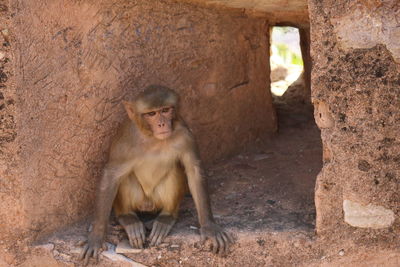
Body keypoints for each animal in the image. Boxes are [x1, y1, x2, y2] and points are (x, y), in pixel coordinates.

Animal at [79, 85, 233, 264]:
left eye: (165, 110)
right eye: (151, 114)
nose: (161, 123)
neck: (152, 137)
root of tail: (148, 205)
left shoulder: (185, 135)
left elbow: (193, 170)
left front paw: (209, 226)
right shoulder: (125, 141)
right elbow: (111, 175)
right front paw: (96, 236)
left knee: (175, 170)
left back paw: (166, 218)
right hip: (139, 201)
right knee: (124, 177)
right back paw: (128, 218)